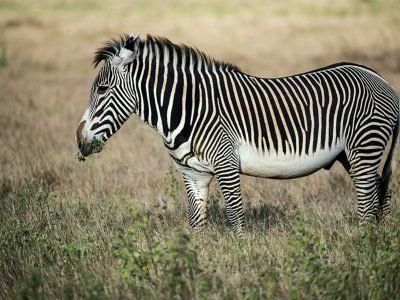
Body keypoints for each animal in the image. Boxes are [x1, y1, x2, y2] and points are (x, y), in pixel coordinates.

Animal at [74, 34, 396, 233]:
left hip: (364, 147)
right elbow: (195, 223)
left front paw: (242, 256)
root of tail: (380, 79)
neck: (188, 109)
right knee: (379, 194)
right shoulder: (193, 173)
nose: (78, 140)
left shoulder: (226, 164)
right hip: (351, 155)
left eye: (102, 89)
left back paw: (365, 246)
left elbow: (235, 216)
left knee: (367, 203)